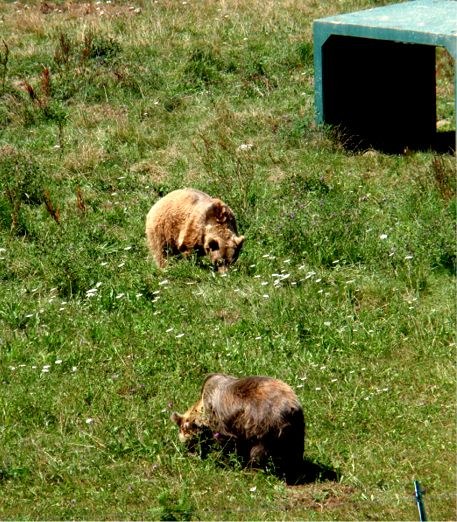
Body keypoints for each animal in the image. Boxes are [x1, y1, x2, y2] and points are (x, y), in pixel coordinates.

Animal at [169, 374, 304, 480]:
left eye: (190, 441)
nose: (189, 453)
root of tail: (290, 407)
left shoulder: (223, 422)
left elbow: (227, 444)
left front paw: (224, 462)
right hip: (296, 427)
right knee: (294, 451)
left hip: (265, 423)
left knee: (259, 450)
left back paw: (252, 470)